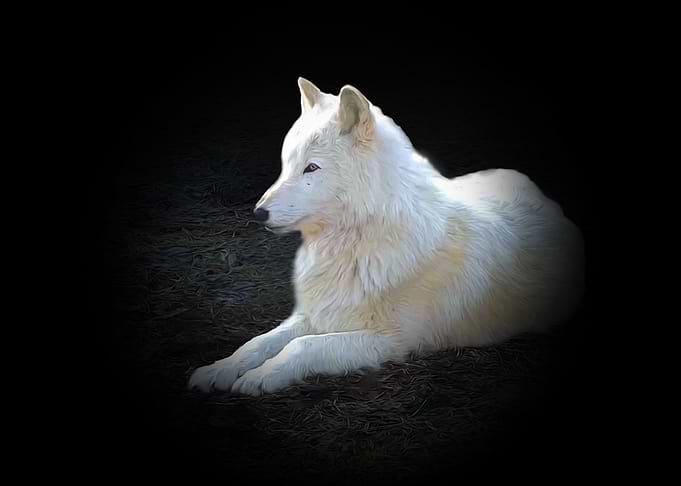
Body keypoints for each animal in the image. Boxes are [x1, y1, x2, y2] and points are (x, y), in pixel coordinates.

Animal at [188, 78, 584, 396]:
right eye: (287, 165)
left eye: (311, 168)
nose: (258, 213)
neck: (358, 245)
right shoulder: (314, 315)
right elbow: (257, 343)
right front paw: (220, 369)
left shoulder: (389, 341)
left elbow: (303, 347)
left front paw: (259, 378)